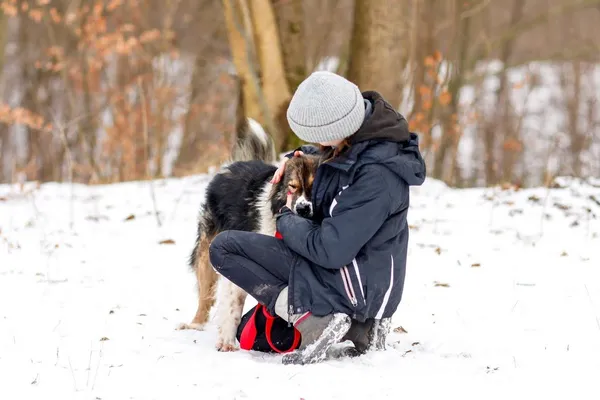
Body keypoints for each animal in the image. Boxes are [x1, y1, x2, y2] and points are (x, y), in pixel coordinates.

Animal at [177, 118, 322, 350]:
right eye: (292, 187)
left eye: (315, 188)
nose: (302, 209)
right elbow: (232, 303)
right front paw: (227, 341)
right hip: (207, 252)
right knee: (205, 295)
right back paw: (196, 324)